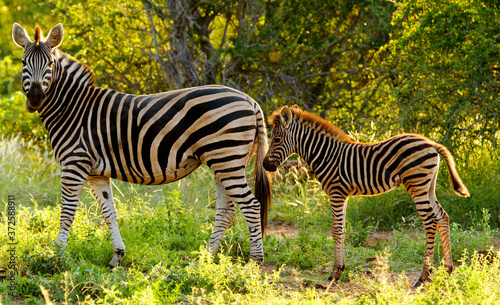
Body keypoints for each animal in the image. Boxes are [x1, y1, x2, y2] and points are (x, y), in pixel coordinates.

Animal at [12, 23, 270, 266]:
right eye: (24, 62)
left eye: (50, 64)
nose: (35, 98)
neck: (72, 108)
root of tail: (250, 100)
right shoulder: (96, 173)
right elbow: (109, 212)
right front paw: (117, 256)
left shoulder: (75, 164)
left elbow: (66, 212)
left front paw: (55, 256)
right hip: (223, 162)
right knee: (226, 212)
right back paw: (204, 259)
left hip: (227, 158)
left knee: (251, 206)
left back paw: (254, 263)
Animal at [264, 105, 470, 286]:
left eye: (276, 139)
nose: (265, 166)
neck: (326, 154)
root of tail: (432, 143)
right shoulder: (343, 195)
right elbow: (343, 229)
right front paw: (339, 270)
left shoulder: (336, 192)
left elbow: (336, 230)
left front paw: (333, 275)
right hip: (428, 186)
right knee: (442, 217)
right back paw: (448, 270)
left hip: (416, 184)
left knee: (430, 223)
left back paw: (424, 276)